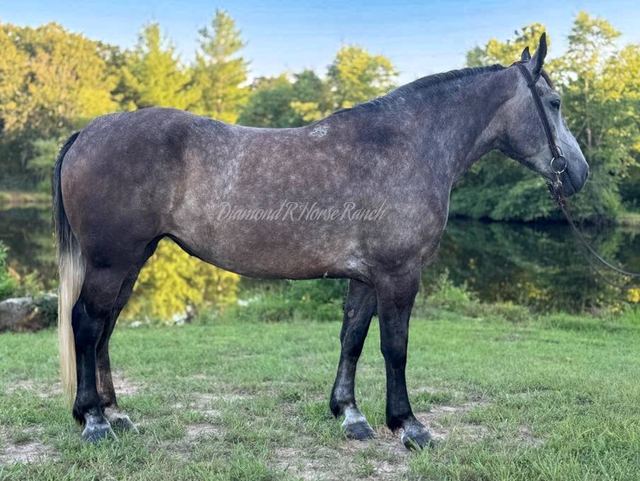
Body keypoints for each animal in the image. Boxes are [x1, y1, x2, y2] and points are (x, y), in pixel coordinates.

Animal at [53, 33, 588, 448]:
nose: (580, 173)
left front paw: (350, 414)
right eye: (555, 104)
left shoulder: (366, 277)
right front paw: (408, 425)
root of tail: (87, 132)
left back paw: (114, 412)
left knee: (106, 327)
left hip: (131, 260)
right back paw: (94, 420)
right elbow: (395, 347)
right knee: (87, 323)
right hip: (111, 262)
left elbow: (353, 338)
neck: (405, 146)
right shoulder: (398, 274)